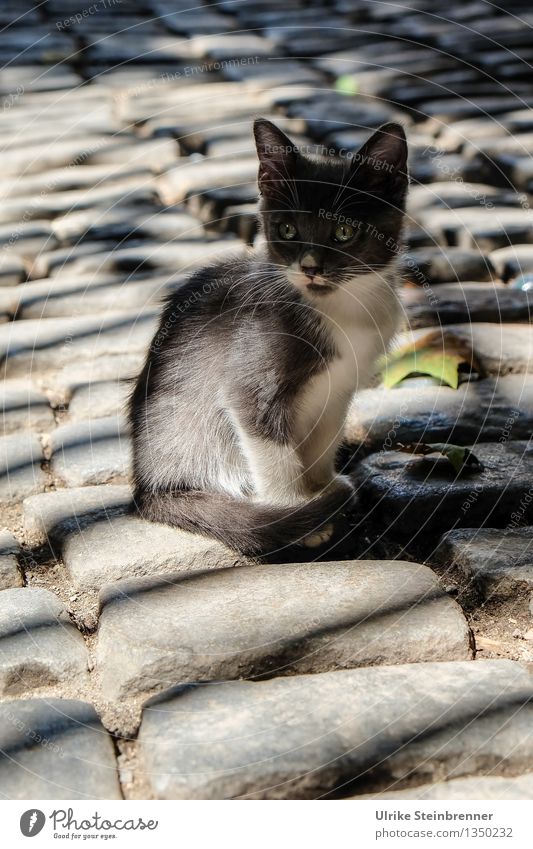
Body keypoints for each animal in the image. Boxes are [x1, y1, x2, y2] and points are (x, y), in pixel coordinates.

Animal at [130, 119, 408, 556]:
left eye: (344, 231)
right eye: (287, 229)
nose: (311, 267)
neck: (341, 308)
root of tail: (149, 488)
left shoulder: (340, 386)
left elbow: (324, 437)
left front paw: (320, 485)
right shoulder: (249, 383)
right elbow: (271, 449)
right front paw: (297, 512)